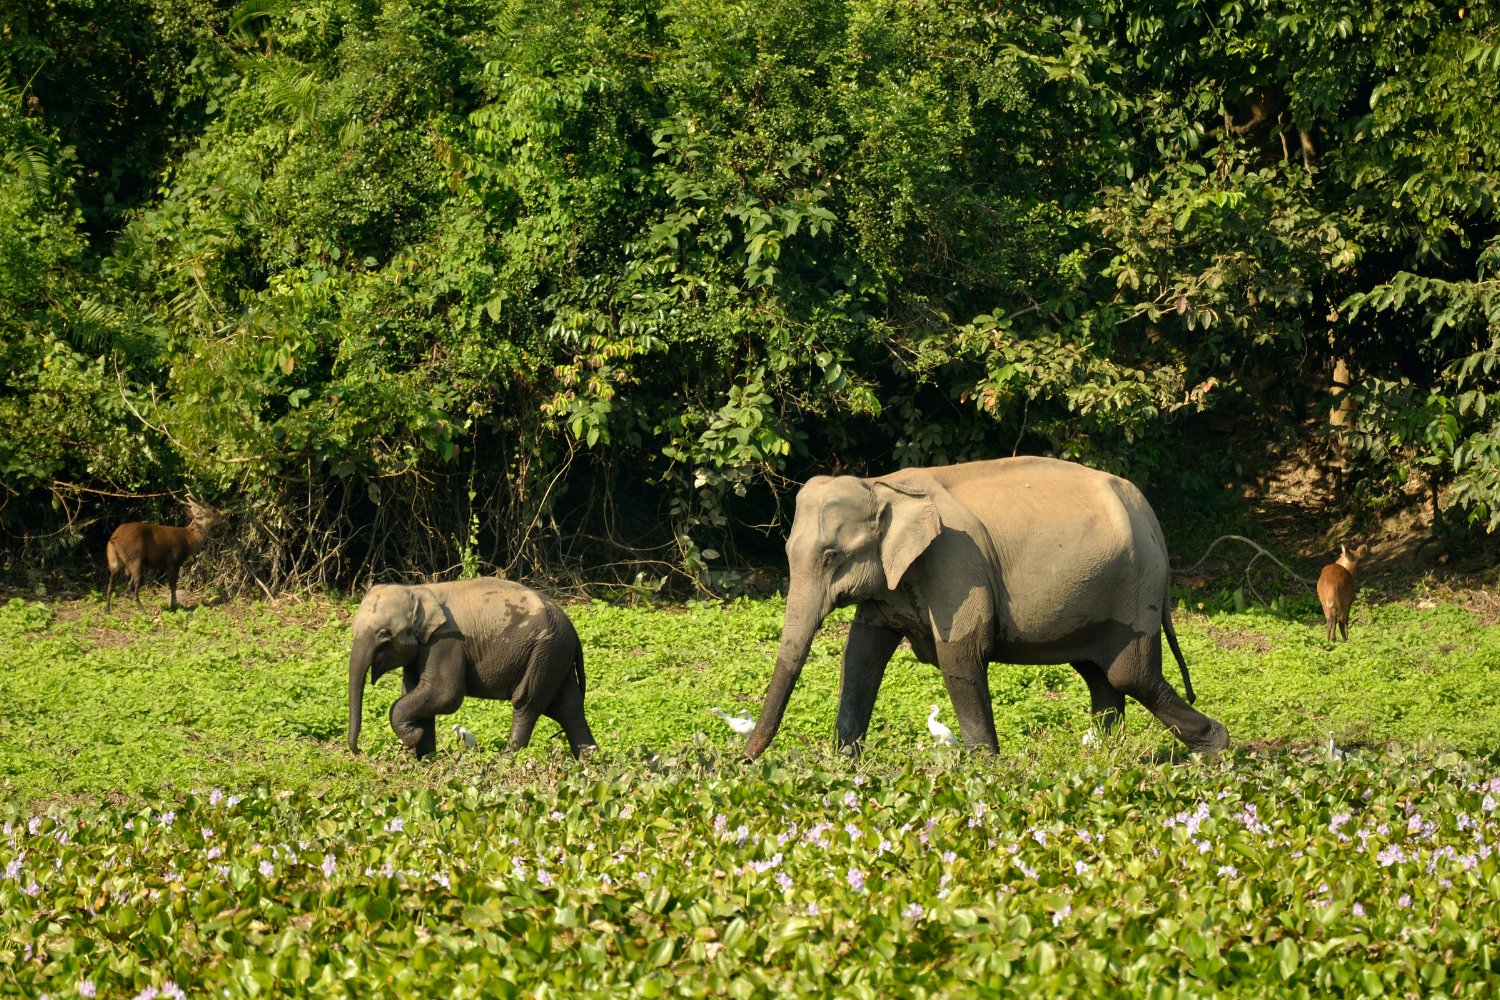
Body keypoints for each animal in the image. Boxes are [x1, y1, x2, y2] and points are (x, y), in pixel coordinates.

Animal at [347, 578, 597, 759]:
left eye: (383, 634)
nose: (360, 753)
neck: (417, 589)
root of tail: (572, 629)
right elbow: (416, 693)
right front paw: (426, 759)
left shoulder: (446, 641)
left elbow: (445, 695)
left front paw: (414, 740)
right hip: (556, 656)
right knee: (569, 708)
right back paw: (589, 762)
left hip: (544, 652)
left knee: (527, 703)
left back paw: (506, 761)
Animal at [743, 456, 1230, 760]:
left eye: (831, 556)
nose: (742, 762)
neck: (884, 484)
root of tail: (1149, 513)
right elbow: (861, 654)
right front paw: (845, 764)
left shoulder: (957, 562)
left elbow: (959, 657)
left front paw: (985, 769)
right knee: (1101, 675)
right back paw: (1101, 755)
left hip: (1134, 587)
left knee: (1129, 673)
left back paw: (1216, 748)